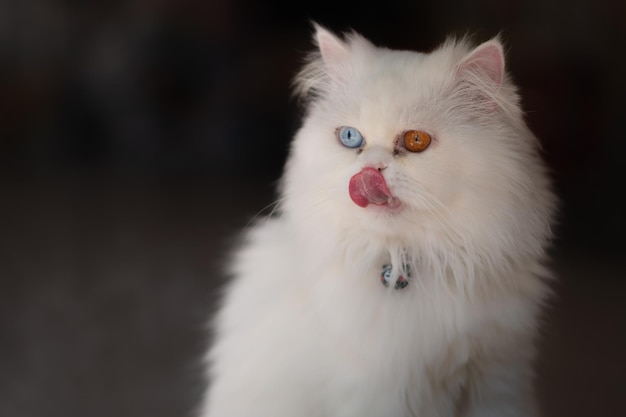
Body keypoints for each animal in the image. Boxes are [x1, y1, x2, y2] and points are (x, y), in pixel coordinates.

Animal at [197, 23, 552, 416]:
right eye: (351, 138)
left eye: (416, 140)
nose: (370, 171)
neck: (405, 263)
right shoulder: (379, 393)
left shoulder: (498, 377)